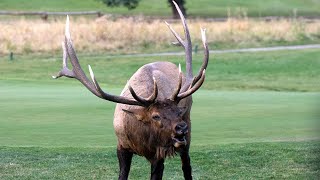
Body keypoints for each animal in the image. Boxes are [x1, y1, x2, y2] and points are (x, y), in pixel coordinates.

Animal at [53, 1, 208, 179]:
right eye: (155, 116)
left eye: (178, 111)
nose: (181, 128)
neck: (141, 140)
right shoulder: (121, 146)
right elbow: (123, 174)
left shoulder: (158, 153)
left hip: (187, 136)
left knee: (186, 165)